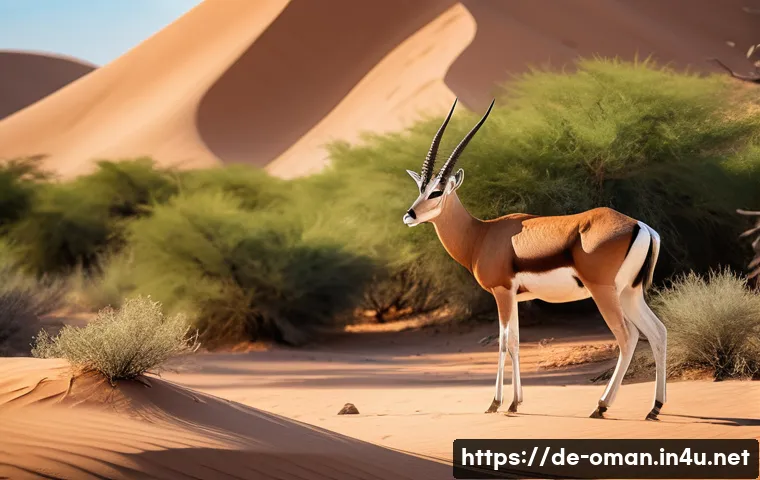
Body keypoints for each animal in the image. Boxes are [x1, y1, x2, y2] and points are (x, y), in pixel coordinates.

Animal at [402, 99, 667, 420]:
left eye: (437, 192)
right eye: (420, 189)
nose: (409, 215)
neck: (481, 235)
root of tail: (640, 226)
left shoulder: (502, 293)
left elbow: (505, 342)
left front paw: (496, 403)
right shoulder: (516, 297)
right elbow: (516, 342)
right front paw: (515, 403)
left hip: (604, 293)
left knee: (628, 337)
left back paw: (601, 406)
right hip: (630, 293)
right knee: (658, 332)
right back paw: (654, 408)